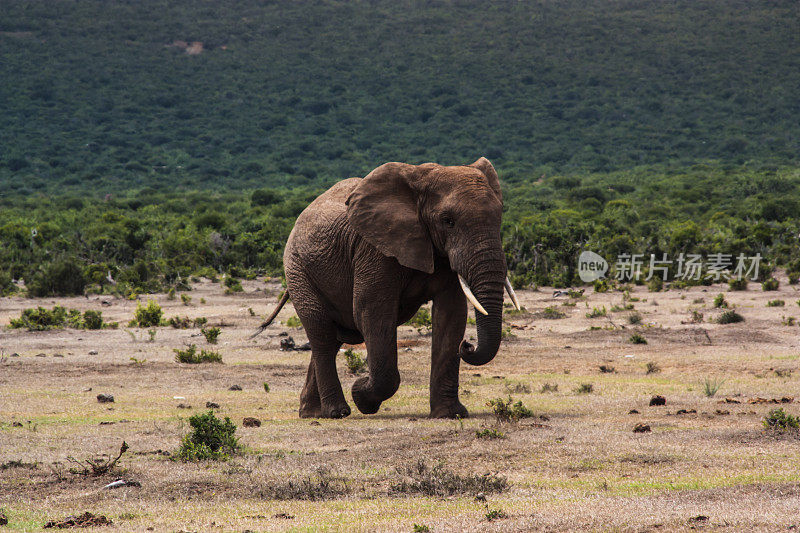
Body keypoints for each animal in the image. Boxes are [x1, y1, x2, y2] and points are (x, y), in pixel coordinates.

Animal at [253, 159, 520, 420]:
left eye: (499, 217)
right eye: (448, 221)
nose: (468, 346)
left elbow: (451, 315)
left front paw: (450, 414)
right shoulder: (374, 249)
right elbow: (372, 312)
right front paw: (361, 395)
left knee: (334, 336)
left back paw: (311, 413)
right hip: (297, 269)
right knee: (322, 333)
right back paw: (336, 412)